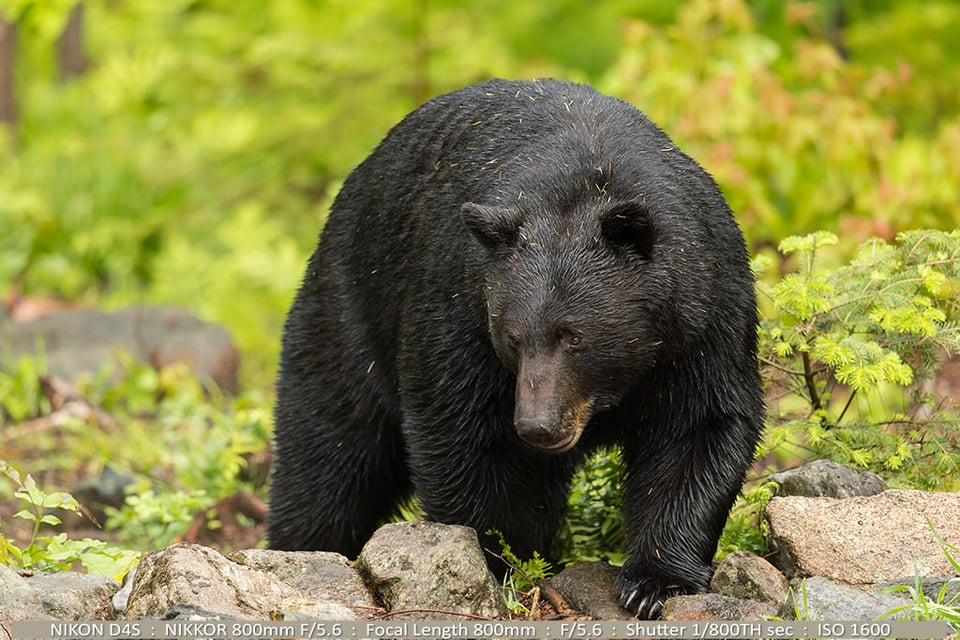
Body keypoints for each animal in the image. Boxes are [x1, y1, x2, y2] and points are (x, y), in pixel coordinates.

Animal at [270, 77, 764, 616]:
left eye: (575, 335)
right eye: (512, 336)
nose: (537, 425)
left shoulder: (704, 322)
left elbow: (697, 429)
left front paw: (656, 583)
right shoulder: (461, 301)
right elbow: (461, 433)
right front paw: (499, 557)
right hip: (351, 309)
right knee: (329, 453)